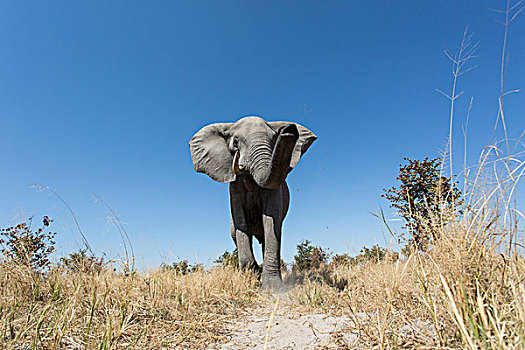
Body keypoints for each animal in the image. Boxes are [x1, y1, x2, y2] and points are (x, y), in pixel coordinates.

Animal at [190, 115, 318, 290]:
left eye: (274, 139)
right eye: (235, 142)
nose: (289, 130)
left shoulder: (275, 190)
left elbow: (271, 221)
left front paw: (272, 288)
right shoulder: (234, 187)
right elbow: (241, 223)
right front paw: (254, 276)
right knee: (236, 233)